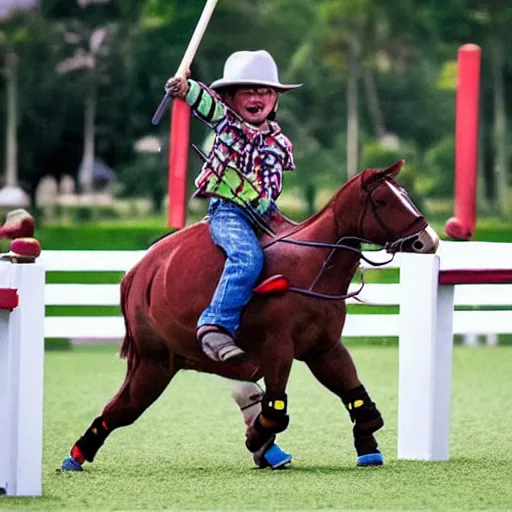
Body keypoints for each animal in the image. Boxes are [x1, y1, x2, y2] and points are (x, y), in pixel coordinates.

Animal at [59, 160, 436, 472]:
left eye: (404, 195)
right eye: (383, 201)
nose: (428, 240)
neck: (311, 267)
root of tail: (138, 272)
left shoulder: (324, 348)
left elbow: (359, 399)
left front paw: (367, 448)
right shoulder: (278, 347)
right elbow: (276, 409)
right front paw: (256, 437)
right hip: (155, 361)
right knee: (121, 409)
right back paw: (75, 457)